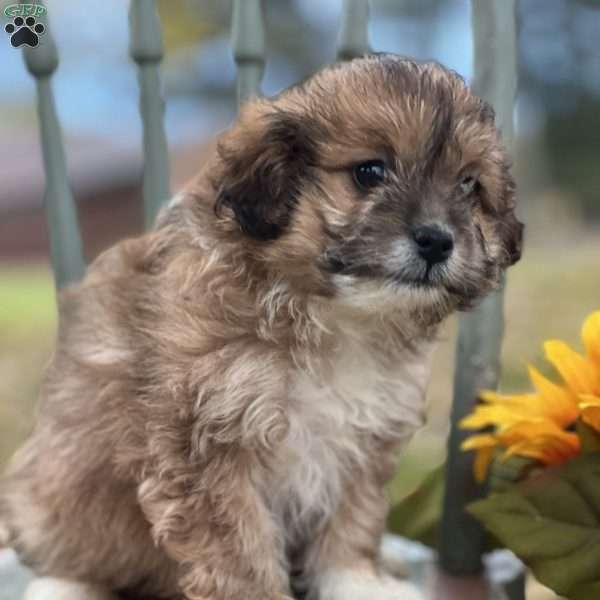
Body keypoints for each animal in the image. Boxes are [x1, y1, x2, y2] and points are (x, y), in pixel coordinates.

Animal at [0, 52, 520, 600]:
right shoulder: (207, 446)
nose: (437, 240)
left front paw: (359, 582)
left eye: (469, 185)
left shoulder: (361, 439)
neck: (333, 317)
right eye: (369, 172)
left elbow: (350, 525)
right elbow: (240, 552)